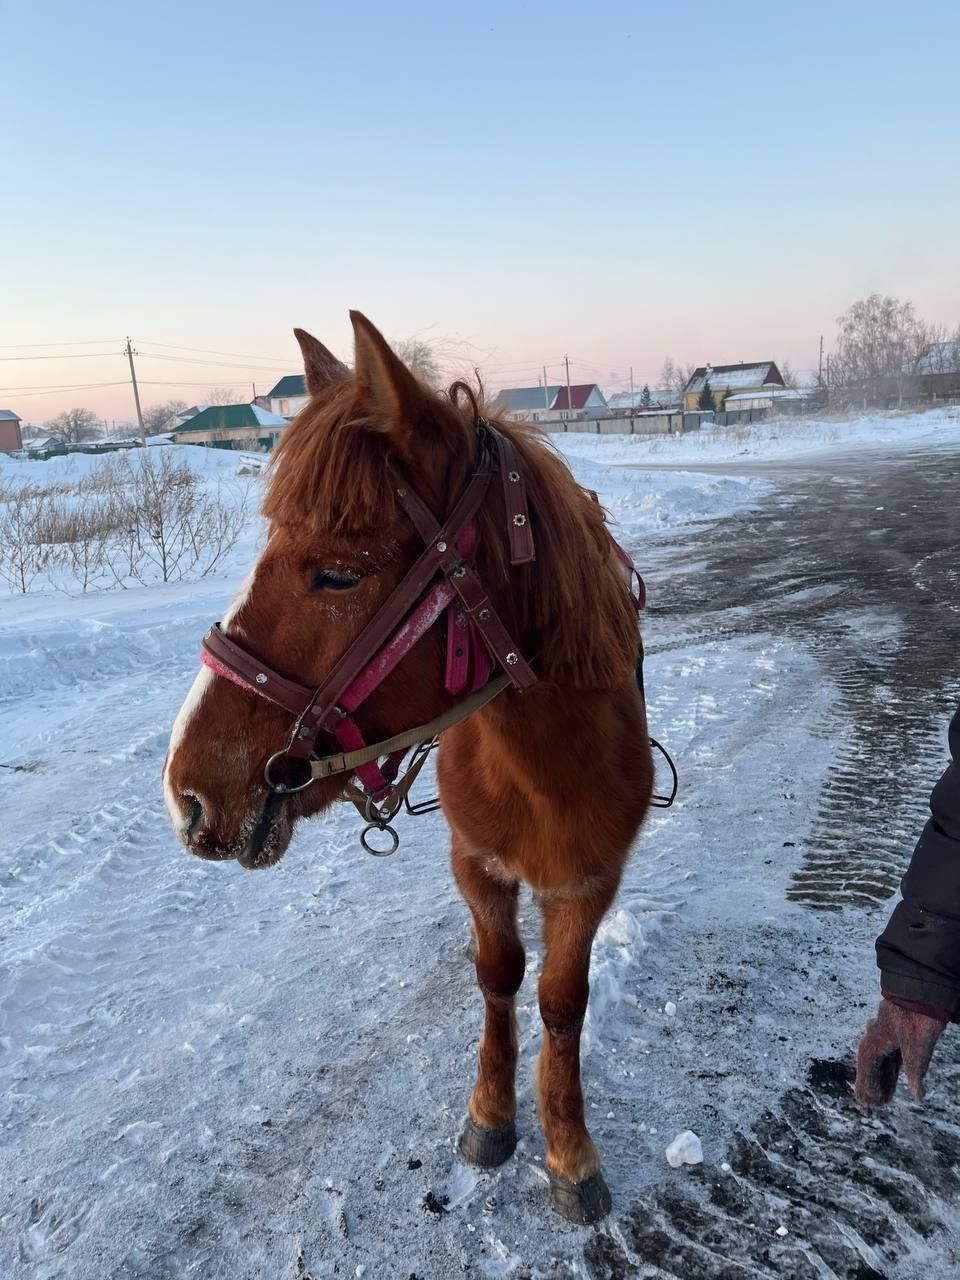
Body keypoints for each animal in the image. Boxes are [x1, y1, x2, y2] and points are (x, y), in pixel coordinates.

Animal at [167, 309, 660, 1218]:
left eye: (337, 573)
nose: (186, 792)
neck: (540, 769)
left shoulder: (588, 878)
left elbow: (561, 1003)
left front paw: (570, 1152)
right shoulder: (476, 865)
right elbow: (499, 978)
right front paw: (491, 1118)